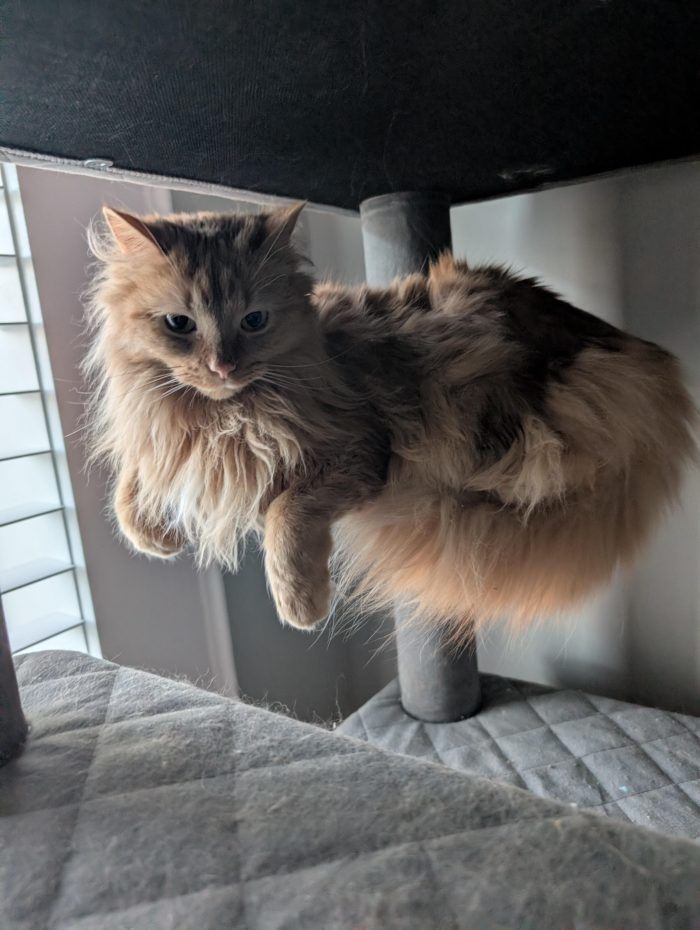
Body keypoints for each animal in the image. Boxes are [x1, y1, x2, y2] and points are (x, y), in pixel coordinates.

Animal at [85, 203, 696, 641]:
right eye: (179, 324)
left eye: (254, 321)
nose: (223, 366)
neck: (226, 414)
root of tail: (631, 347)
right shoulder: (160, 432)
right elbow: (130, 482)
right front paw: (155, 536)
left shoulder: (357, 454)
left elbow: (285, 515)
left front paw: (301, 603)